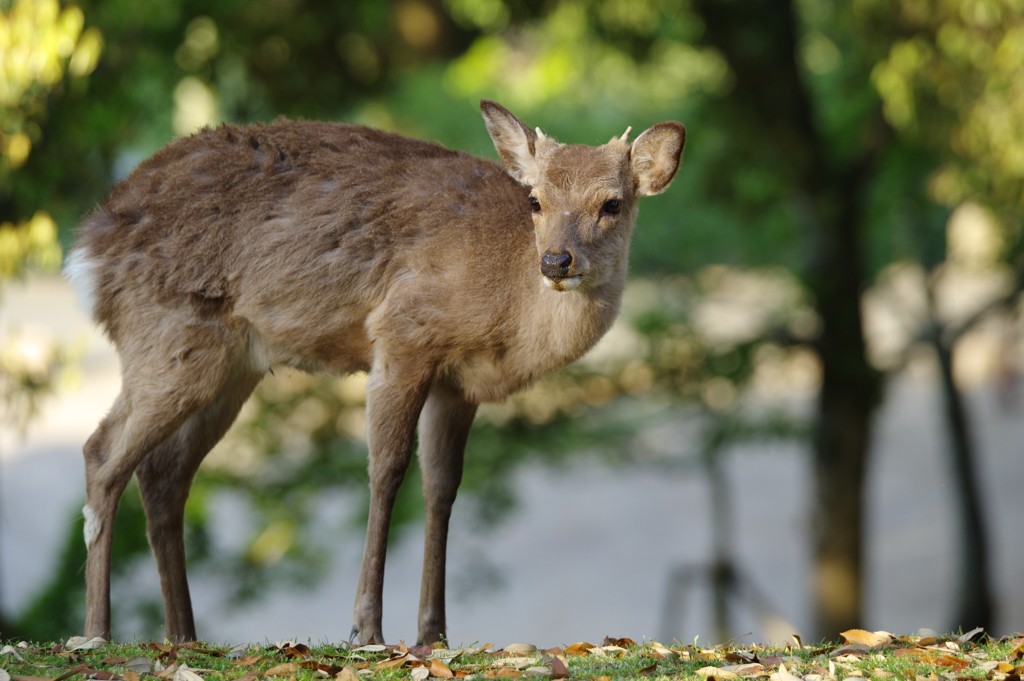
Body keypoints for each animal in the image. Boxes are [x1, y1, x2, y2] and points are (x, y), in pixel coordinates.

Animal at [68, 99, 684, 643]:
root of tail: (87, 252)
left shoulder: (458, 384)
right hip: (167, 337)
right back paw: (96, 633)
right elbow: (387, 471)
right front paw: (367, 629)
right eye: (534, 200)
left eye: (612, 203)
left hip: (229, 367)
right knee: (102, 451)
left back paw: (183, 636)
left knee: (163, 472)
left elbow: (442, 487)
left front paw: (434, 633)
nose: (556, 262)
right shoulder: (403, 335)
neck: (506, 311)